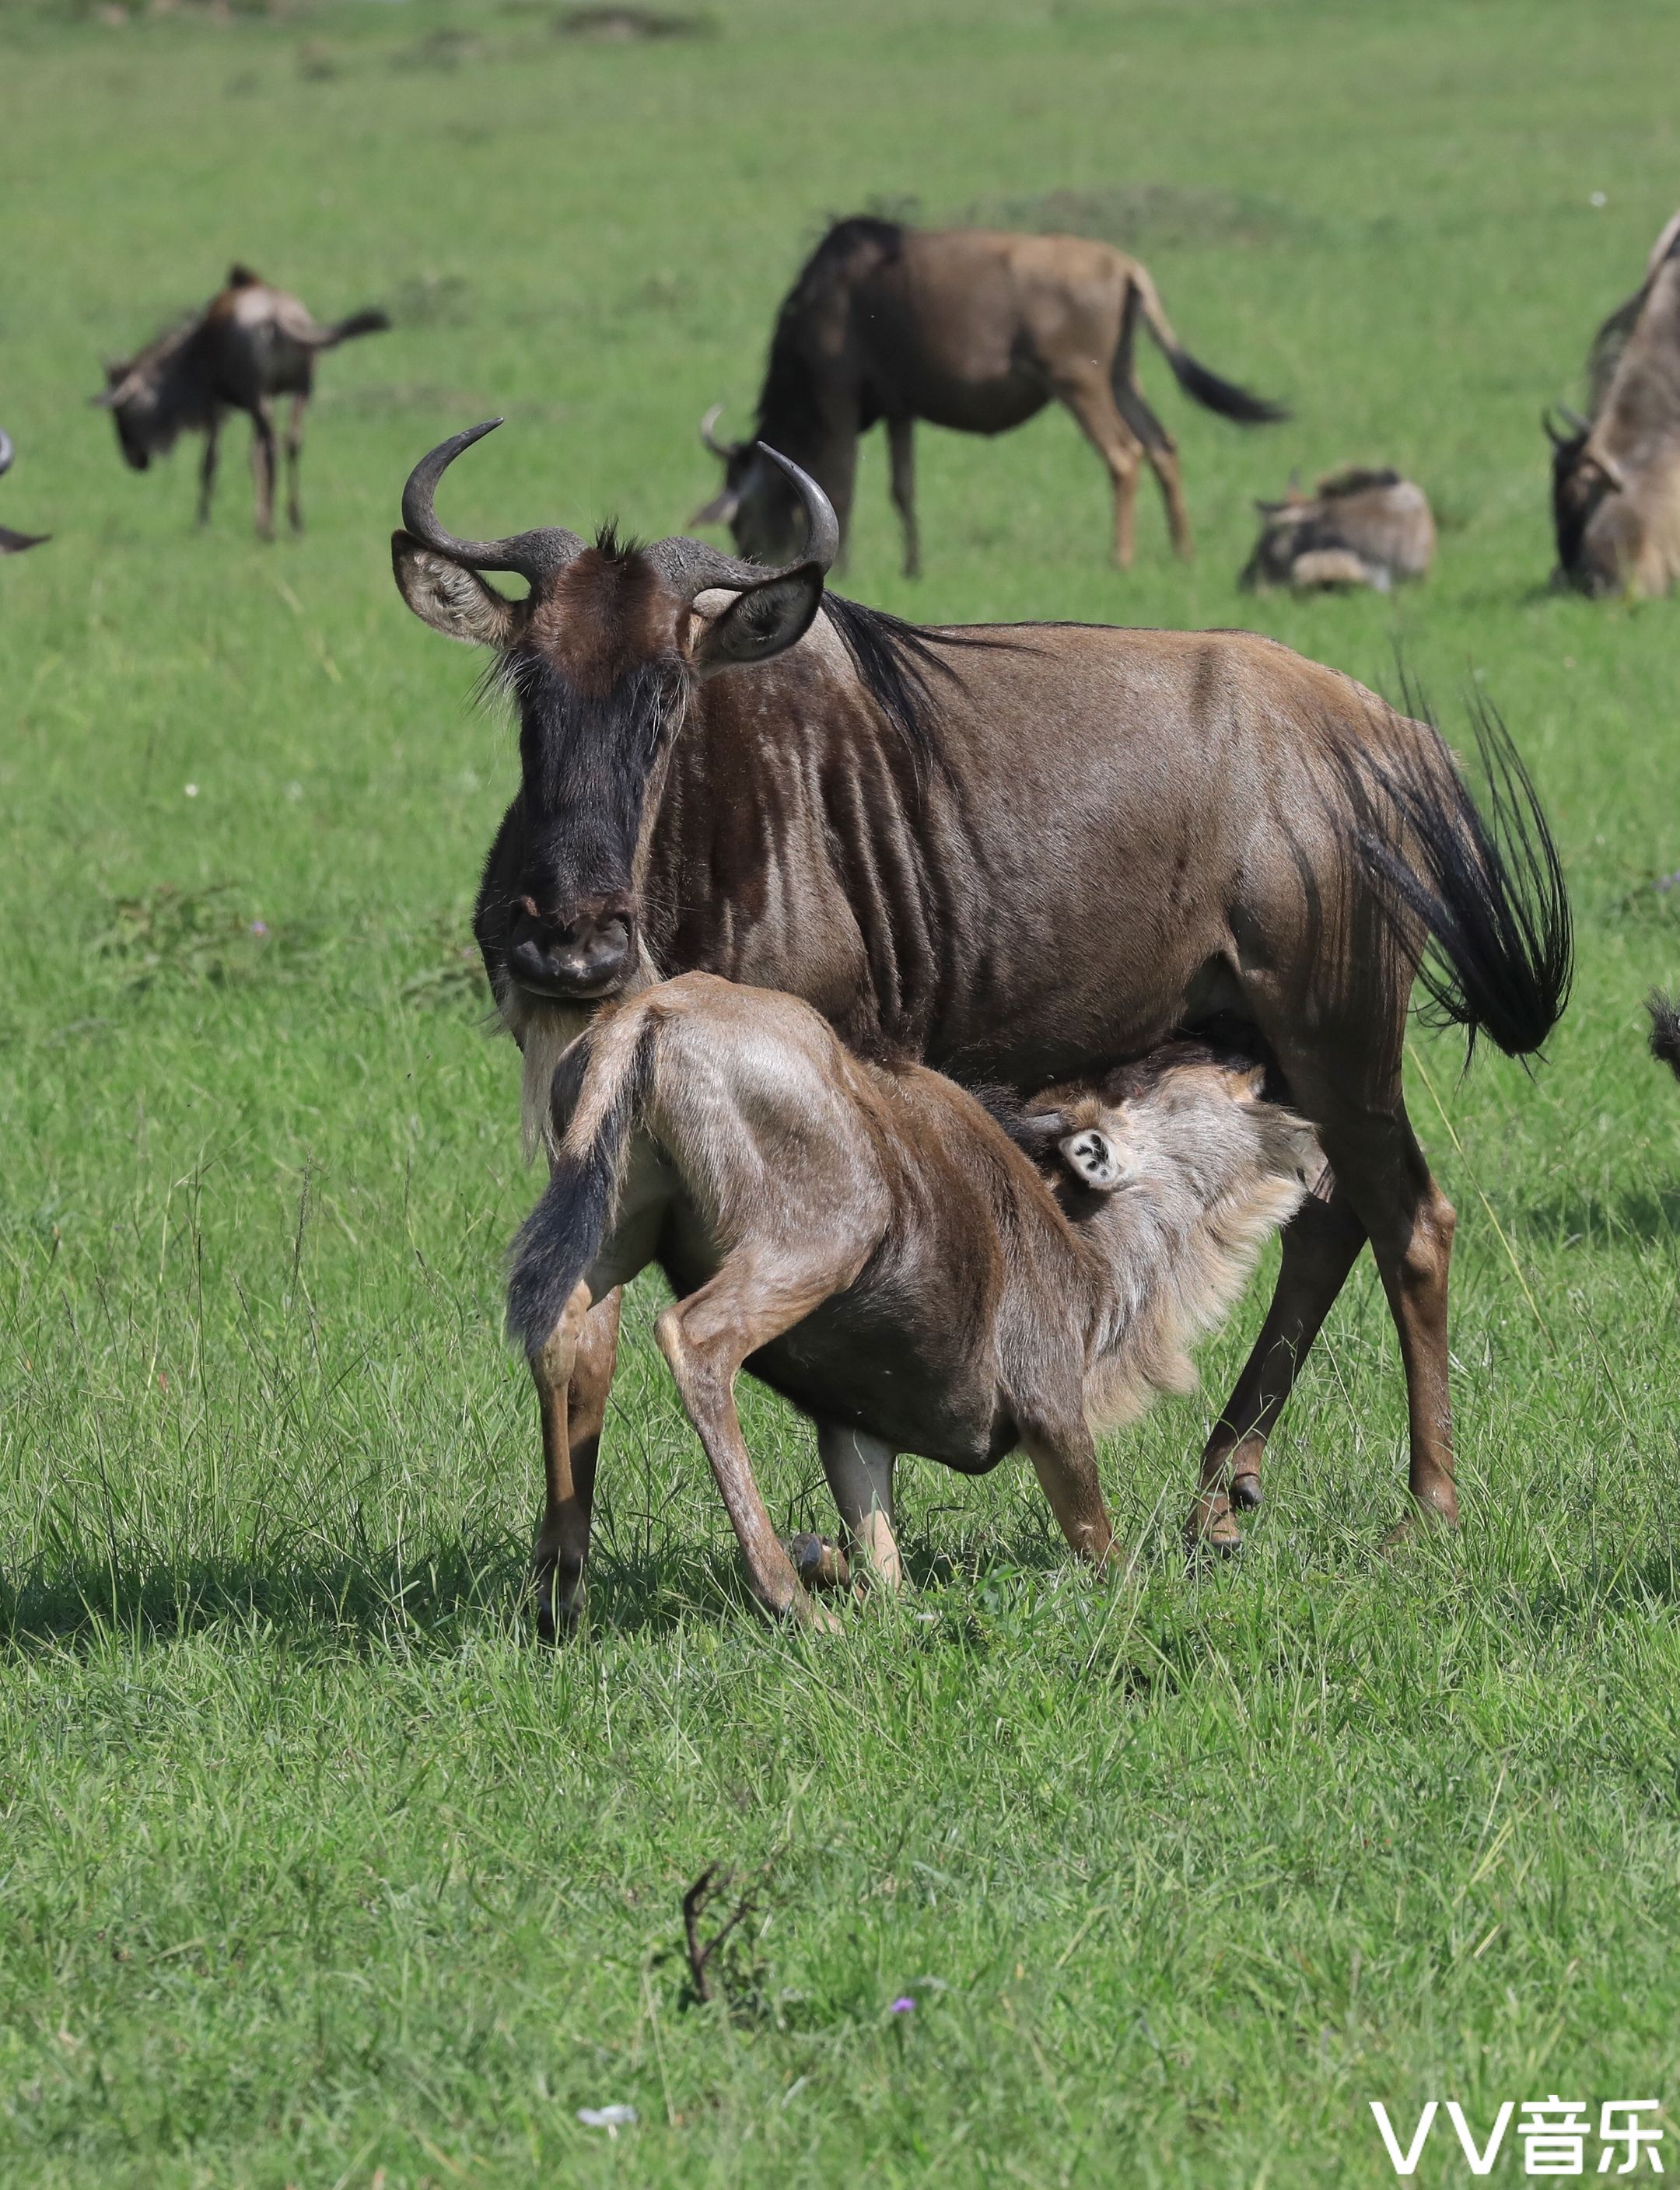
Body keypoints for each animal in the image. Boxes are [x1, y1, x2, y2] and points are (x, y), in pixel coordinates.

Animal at [95, 264, 390, 538]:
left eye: (120, 412)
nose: (133, 460)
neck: (190, 352)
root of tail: (278, 316)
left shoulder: (213, 402)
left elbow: (210, 462)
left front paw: (202, 522)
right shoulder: (264, 399)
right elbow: (252, 456)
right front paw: (255, 516)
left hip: (257, 395)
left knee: (272, 447)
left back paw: (270, 528)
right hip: (301, 389)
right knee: (291, 442)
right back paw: (295, 523)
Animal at [506, 972, 1322, 1629]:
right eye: (1156, 1078)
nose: (1249, 1053)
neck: (1091, 1266)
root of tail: (647, 1016)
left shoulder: (855, 1434)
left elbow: (884, 1574)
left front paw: (830, 1561)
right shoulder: (1050, 1402)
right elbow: (1104, 1550)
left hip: (617, 1224)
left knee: (558, 1333)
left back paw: (560, 1587)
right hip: (825, 1235)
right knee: (693, 1338)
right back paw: (789, 1602)